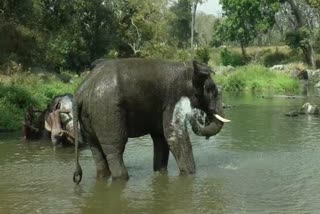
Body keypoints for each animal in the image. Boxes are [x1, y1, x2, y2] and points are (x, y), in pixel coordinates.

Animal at [72, 58, 230, 184]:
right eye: (211, 89)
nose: (199, 116)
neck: (186, 68)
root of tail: (81, 90)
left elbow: (161, 138)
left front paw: (161, 174)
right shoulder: (172, 100)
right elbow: (174, 136)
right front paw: (191, 176)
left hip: (89, 117)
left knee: (96, 149)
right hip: (107, 112)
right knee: (115, 148)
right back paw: (122, 179)